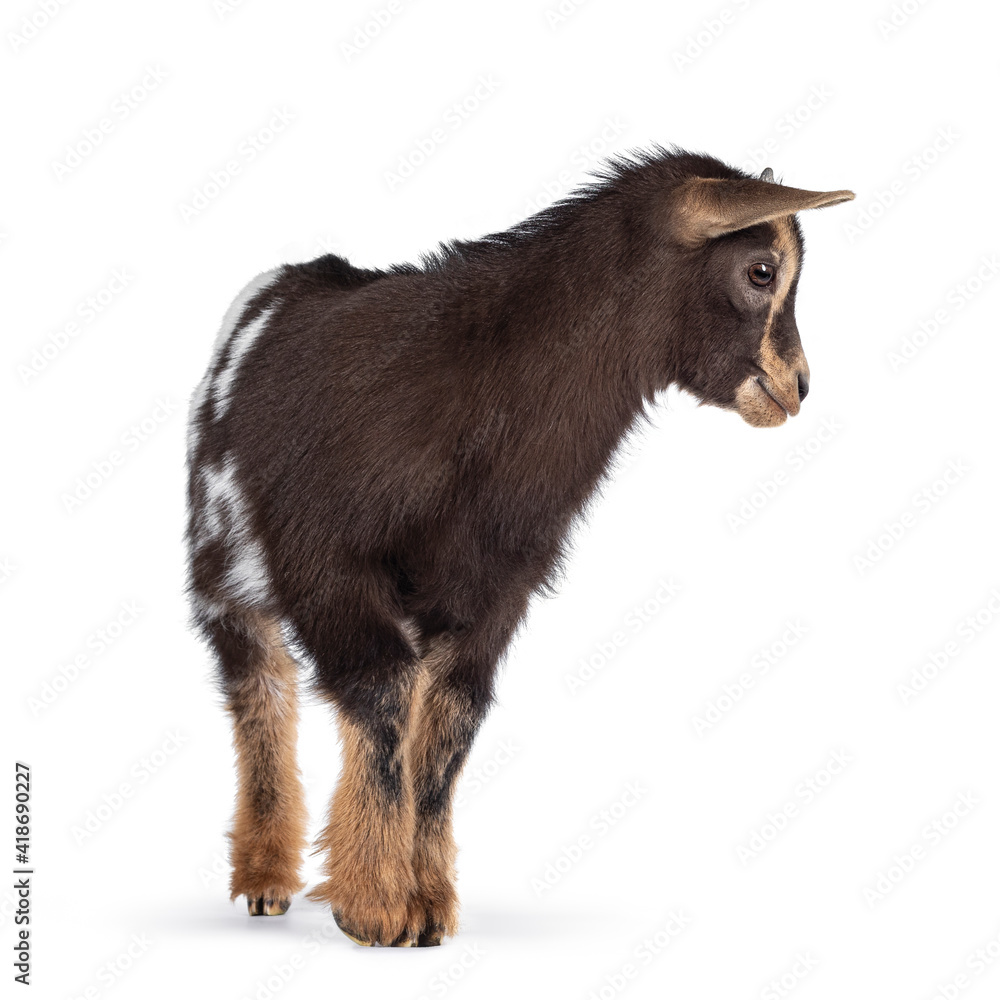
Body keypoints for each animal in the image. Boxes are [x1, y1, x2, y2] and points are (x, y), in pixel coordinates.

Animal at [186, 147, 854, 947]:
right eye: (760, 271)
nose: (798, 387)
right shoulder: (327, 563)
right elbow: (383, 696)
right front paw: (374, 905)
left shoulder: (497, 585)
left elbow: (449, 720)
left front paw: (427, 905)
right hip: (221, 558)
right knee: (261, 687)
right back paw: (263, 879)